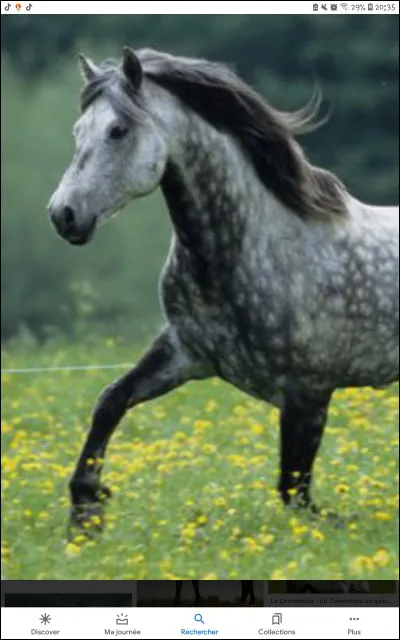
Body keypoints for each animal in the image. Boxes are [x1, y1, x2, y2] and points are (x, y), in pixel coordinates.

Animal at [47, 47, 399, 538]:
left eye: (118, 130)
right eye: (78, 130)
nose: (64, 215)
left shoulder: (308, 390)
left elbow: (295, 493)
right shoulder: (185, 352)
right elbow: (110, 401)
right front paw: (86, 511)